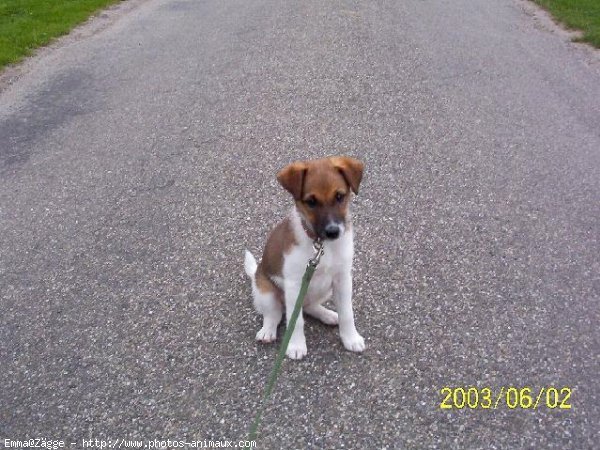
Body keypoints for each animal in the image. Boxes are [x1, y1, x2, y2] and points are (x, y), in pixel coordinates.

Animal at [245, 156, 366, 360]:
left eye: (339, 196)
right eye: (311, 202)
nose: (333, 232)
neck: (322, 246)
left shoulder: (342, 278)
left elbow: (347, 313)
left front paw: (351, 338)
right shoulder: (294, 283)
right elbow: (296, 321)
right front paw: (296, 345)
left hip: (325, 290)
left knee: (309, 306)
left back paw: (328, 315)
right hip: (266, 291)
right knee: (275, 314)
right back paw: (267, 331)